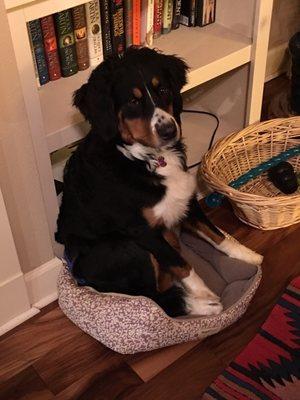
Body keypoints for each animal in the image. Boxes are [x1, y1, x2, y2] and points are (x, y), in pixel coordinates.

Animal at [55, 47, 262, 318]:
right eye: (133, 101)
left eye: (162, 90)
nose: (168, 130)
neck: (147, 159)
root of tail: (79, 275)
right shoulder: (142, 230)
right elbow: (181, 265)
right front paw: (204, 295)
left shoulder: (186, 199)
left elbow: (216, 233)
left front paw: (247, 255)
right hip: (125, 248)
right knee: (155, 298)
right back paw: (199, 306)